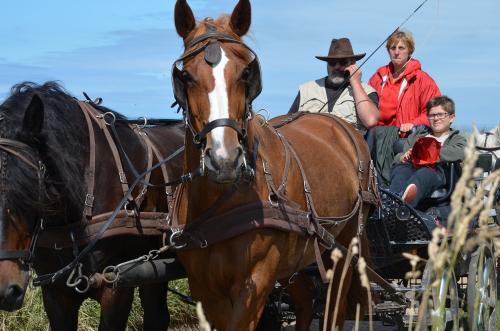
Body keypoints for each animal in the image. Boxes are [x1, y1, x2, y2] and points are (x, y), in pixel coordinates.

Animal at [172, 0, 376, 331]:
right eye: (186, 76)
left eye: (246, 73)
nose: (224, 160)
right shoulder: (203, 287)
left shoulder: (255, 281)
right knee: (306, 301)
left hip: (345, 243)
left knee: (336, 305)